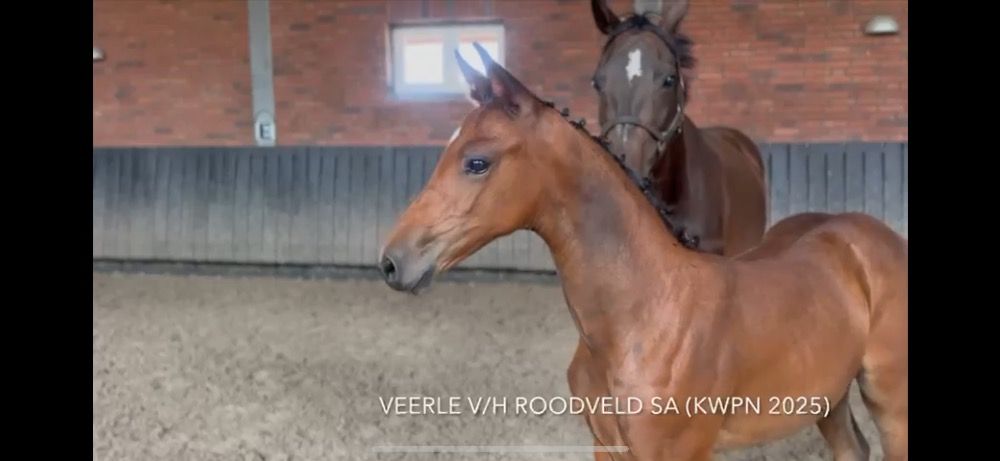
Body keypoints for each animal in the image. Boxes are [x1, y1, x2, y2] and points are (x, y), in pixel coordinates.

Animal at [377, 45, 908, 461]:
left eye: (476, 162)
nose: (392, 262)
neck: (645, 315)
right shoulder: (606, 446)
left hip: (890, 403)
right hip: (828, 395)